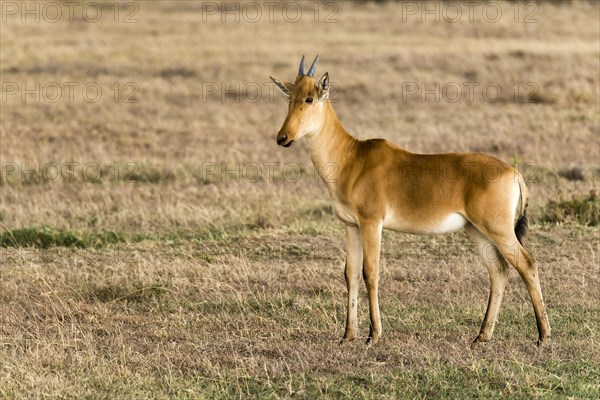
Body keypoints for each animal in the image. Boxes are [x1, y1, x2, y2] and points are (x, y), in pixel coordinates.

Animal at [270, 54, 552, 346]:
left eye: (310, 98)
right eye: (290, 96)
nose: (283, 138)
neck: (353, 157)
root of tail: (513, 172)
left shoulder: (372, 223)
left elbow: (370, 272)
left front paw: (374, 335)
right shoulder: (351, 226)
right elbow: (350, 273)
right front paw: (348, 336)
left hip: (498, 229)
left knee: (527, 264)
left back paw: (543, 336)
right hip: (476, 231)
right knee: (498, 270)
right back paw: (481, 336)